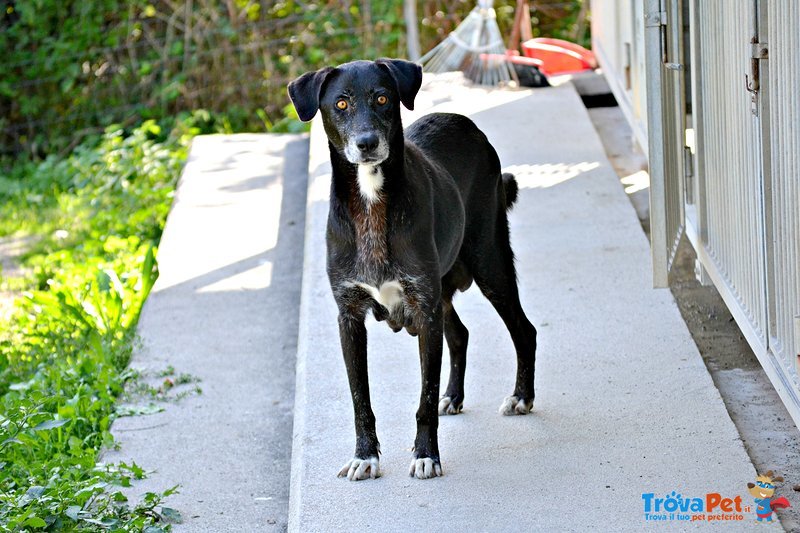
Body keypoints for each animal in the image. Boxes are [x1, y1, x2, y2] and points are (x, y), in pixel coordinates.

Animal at [288, 60, 536, 480]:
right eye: (341, 103)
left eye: (382, 98)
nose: (367, 143)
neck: (371, 200)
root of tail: (465, 122)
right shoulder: (349, 316)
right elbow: (360, 398)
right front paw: (365, 455)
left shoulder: (424, 307)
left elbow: (425, 396)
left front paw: (425, 455)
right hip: (444, 289)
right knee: (461, 334)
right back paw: (454, 396)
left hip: (490, 264)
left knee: (524, 330)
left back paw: (521, 397)